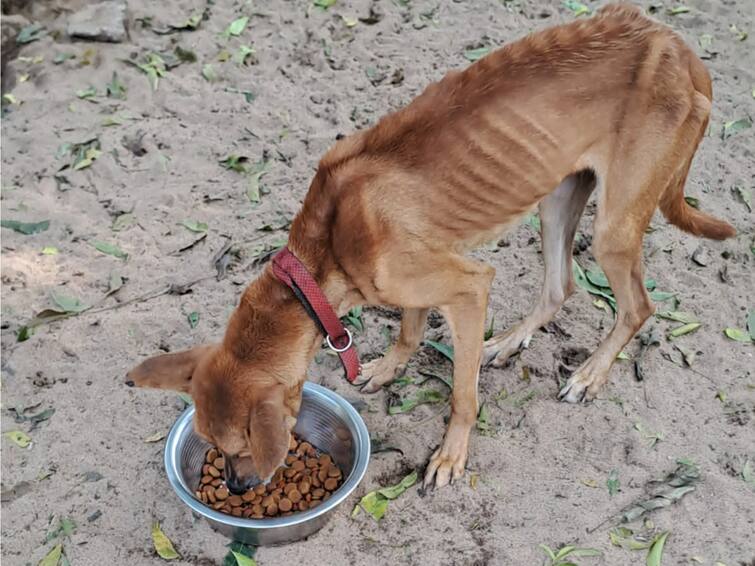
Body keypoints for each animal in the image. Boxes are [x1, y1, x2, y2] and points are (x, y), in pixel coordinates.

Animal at [127, 3, 736, 492]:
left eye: (239, 449)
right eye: (213, 448)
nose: (233, 488)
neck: (324, 253)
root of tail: (679, 47)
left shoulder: (468, 286)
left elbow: (463, 396)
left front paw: (450, 456)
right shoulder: (413, 280)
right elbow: (410, 327)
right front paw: (389, 367)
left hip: (612, 227)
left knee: (637, 306)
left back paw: (588, 375)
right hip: (557, 195)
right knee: (560, 286)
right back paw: (506, 342)